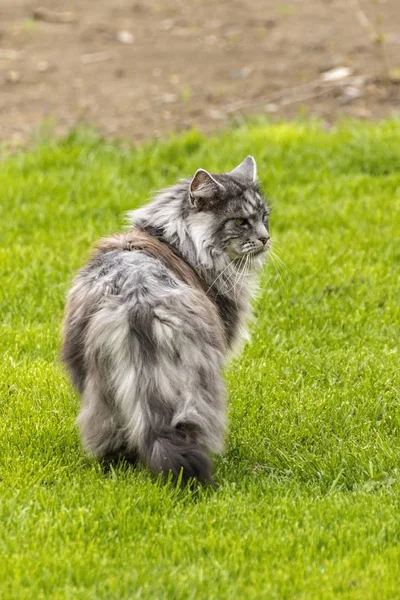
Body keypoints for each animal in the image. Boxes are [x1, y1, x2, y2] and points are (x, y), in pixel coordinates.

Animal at [61, 157, 270, 486]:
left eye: (264, 217)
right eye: (240, 222)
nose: (265, 238)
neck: (176, 241)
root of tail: (138, 298)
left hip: (99, 385)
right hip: (198, 380)